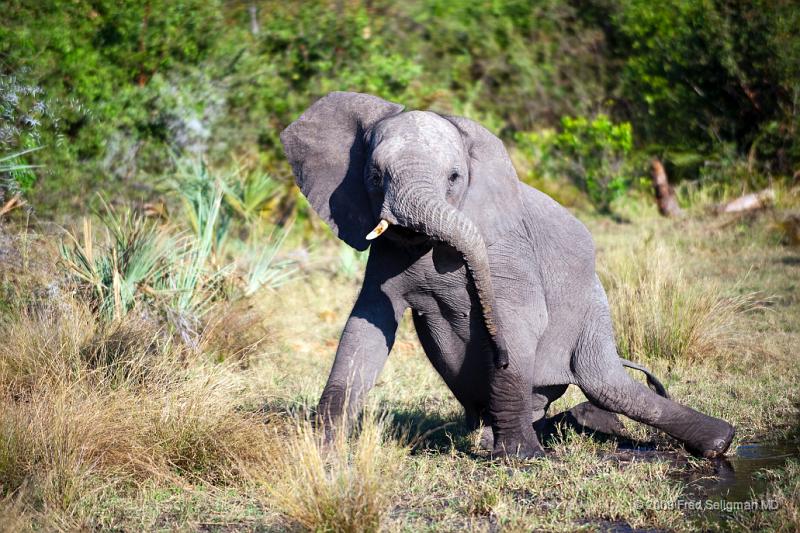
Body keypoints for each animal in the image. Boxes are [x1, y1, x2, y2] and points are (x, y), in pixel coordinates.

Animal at [282, 90, 736, 458]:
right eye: (375, 176)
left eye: (455, 177)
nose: (496, 355)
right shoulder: (385, 253)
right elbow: (368, 325)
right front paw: (321, 451)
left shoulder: (508, 247)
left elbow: (520, 318)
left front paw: (520, 457)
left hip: (591, 298)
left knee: (603, 381)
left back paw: (719, 442)